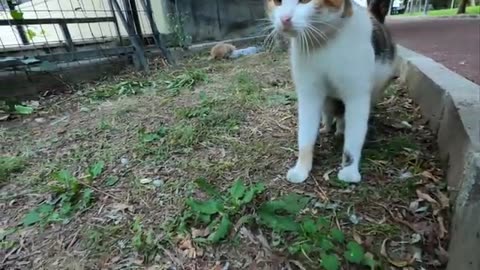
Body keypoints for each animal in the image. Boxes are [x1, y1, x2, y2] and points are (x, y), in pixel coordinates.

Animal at [264, 0, 396, 184]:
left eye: (305, 1)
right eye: (277, 2)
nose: (285, 19)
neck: (324, 41)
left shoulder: (357, 95)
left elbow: (354, 135)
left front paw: (349, 170)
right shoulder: (309, 93)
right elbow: (305, 133)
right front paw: (302, 167)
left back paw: (342, 129)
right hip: (328, 98)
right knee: (329, 110)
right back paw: (327, 127)